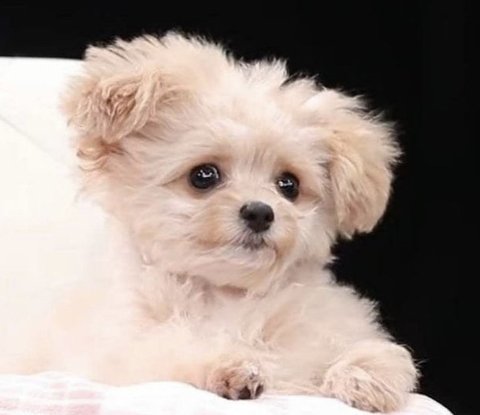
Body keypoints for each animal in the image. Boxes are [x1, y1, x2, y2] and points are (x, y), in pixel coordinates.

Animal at [0, 32, 418, 412]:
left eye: (289, 185)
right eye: (204, 176)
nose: (260, 212)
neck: (225, 294)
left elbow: (354, 347)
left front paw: (366, 374)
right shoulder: (121, 351)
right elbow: (177, 347)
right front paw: (228, 365)